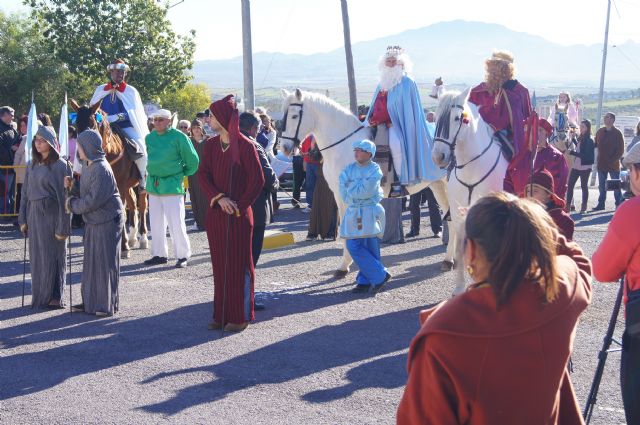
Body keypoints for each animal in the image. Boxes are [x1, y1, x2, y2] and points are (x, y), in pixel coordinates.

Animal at [69, 100, 149, 258]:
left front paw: (123, 247)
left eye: (92, 124)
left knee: (142, 205)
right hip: (128, 186)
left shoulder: (120, 185)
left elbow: (121, 211)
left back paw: (142, 238)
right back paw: (132, 238)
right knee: (133, 203)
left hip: (140, 184)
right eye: (77, 124)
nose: (80, 156)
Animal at [280, 88, 450, 276]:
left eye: (294, 116)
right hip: (438, 186)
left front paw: (348, 265)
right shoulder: (339, 195)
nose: (284, 148)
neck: (344, 145)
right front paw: (348, 264)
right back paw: (449, 260)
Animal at [430, 88, 510, 294]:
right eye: (436, 118)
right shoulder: (458, 213)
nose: (438, 157)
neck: (472, 168)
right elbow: (461, 246)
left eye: (458, 118)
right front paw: (459, 288)